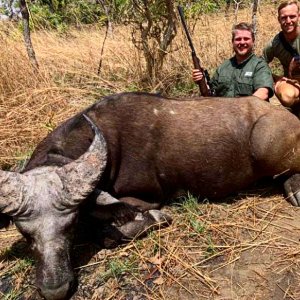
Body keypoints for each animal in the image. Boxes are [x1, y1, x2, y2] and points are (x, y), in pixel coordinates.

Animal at [0, 92, 300, 298]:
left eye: (70, 226)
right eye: (25, 234)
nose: (56, 290)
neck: (108, 141)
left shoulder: (146, 198)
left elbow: (108, 233)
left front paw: (154, 218)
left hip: (264, 146)